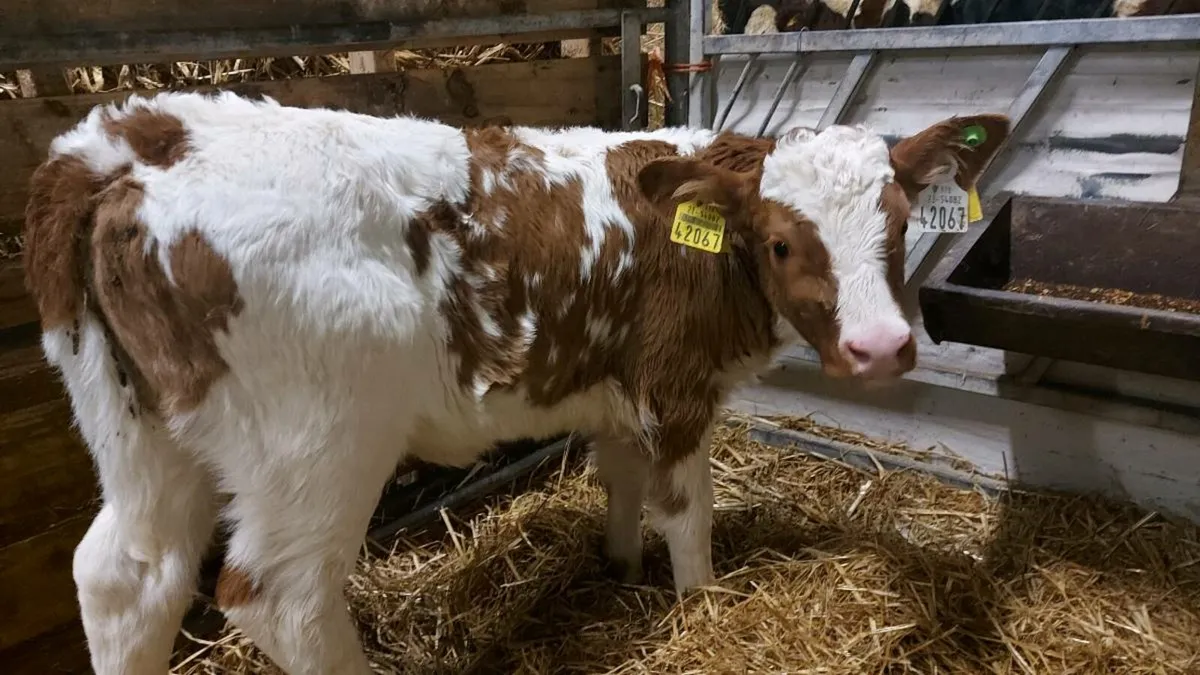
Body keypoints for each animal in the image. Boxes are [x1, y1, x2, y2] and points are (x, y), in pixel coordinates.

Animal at [23, 90, 1011, 675]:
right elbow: (686, 509)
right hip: (315, 442)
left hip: (140, 430)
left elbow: (619, 478)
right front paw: (701, 605)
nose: (881, 346)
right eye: (778, 240)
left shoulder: (616, 385)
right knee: (279, 597)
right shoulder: (676, 386)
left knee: (126, 579)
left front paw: (618, 567)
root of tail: (131, 141)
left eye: (898, 224)